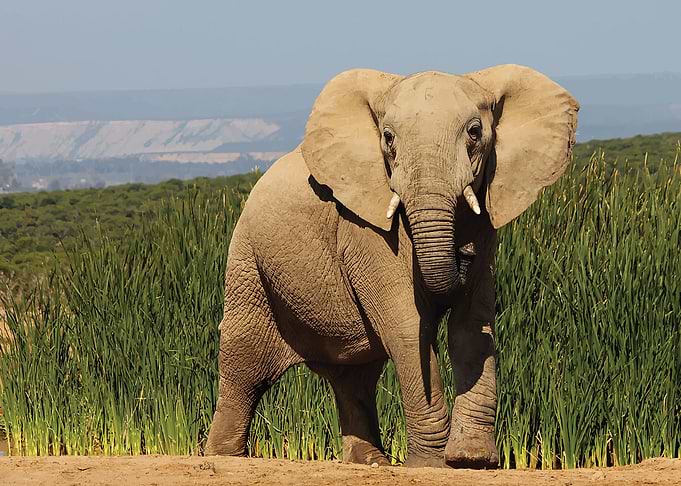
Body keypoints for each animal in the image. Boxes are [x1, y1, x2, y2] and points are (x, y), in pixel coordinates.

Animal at [205, 64, 579, 468]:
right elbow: (409, 328)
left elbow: (470, 327)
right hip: (248, 263)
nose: (464, 254)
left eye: (475, 132)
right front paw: (431, 465)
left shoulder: (487, 223)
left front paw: (472, 460)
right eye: (387, 138)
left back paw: (370, 462)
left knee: (353, 378)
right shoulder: (364, 230)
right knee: (244, 365)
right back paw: (225, 458)